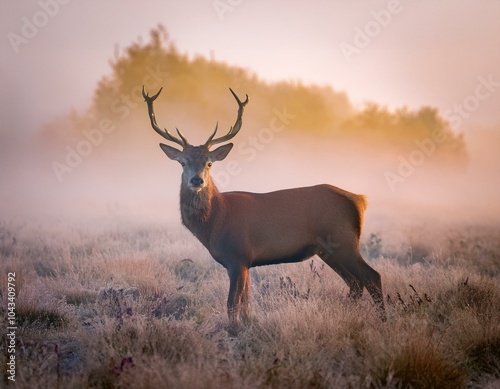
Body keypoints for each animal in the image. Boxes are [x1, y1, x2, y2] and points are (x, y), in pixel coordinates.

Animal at [141, 86, 386, 322]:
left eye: (209, 163)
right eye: (182, 162)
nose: (196, 180)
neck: (216, 221)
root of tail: (359, 199)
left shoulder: (237, 255)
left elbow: (232, 304)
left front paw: (234, 330)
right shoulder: (246, 262)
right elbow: (246, 305)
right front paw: (248, 324)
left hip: (344, 240)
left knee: (372, 276)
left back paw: (382, 320)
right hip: (329, 250)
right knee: (355, 283)